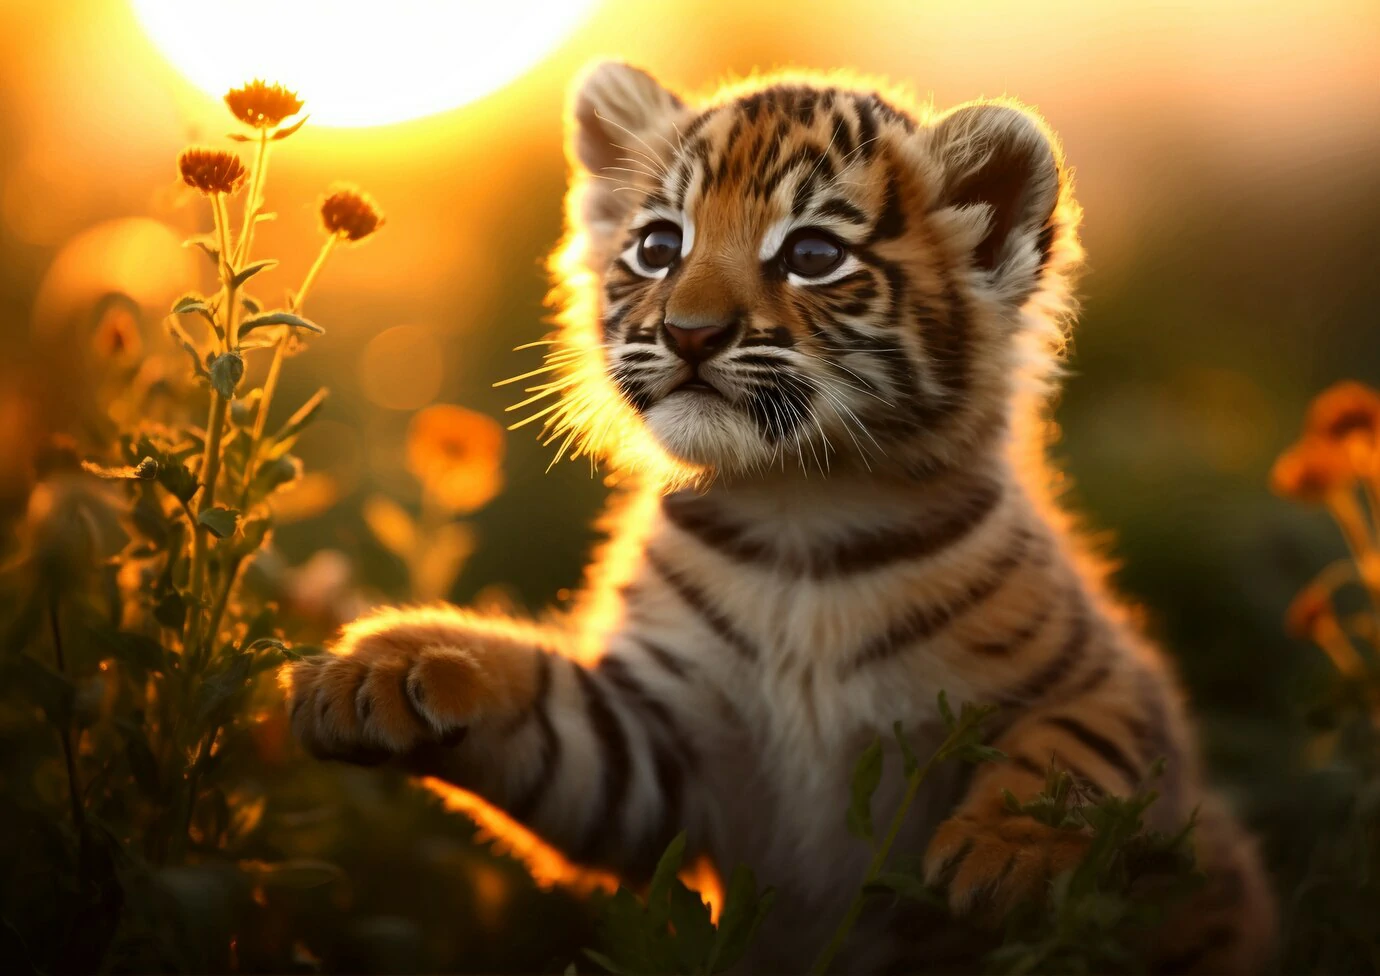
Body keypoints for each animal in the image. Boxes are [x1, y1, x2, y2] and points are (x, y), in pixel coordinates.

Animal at [283, 63, 1276, 972]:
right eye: (659, 245)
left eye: (812, 255)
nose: (687, 332)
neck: (797, 513)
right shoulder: (658, 747)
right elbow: (539, 702)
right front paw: (386, 668)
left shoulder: (1106, 679)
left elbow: (1080, 746)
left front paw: (1009, 852)